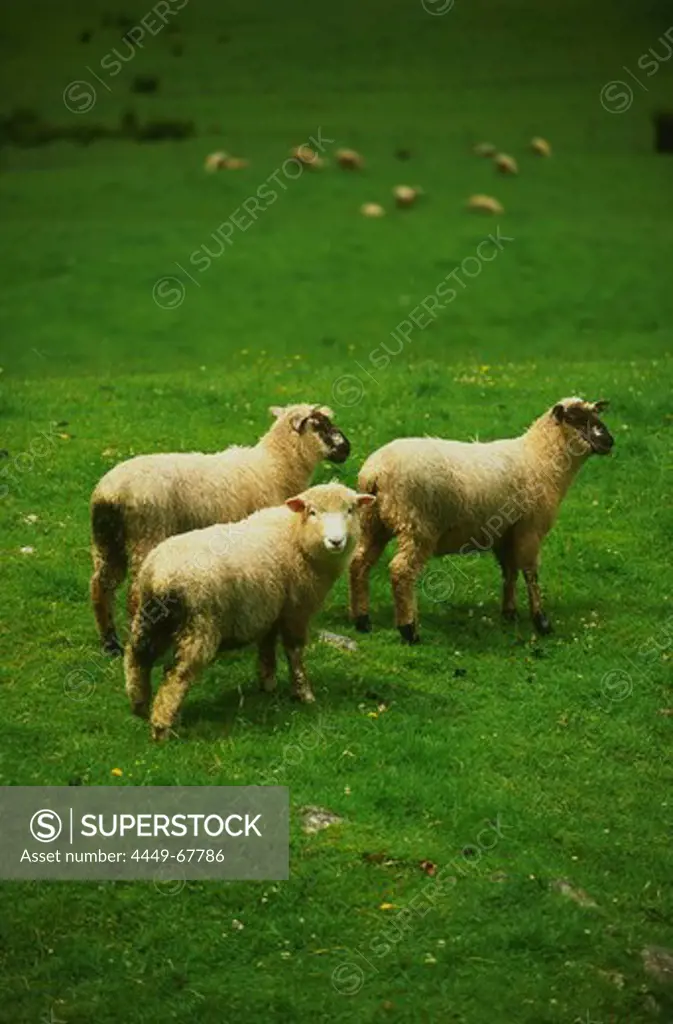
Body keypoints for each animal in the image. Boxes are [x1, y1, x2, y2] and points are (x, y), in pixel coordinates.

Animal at [89, 401, 348, 655]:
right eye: (320, 425)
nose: (347, 448)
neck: (276, 466)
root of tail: (110, 493)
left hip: (107, 541)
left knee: (101, 585)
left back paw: (110, 644)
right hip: (145, 536)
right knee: (133, 594)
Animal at [119, 483, 372, 741]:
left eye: (350, 510)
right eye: (312, 512)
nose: (336, 541)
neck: (295, 535)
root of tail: (160, 575)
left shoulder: (269, 610)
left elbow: (267, 648)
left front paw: (268, 684)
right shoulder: (295, 609)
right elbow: (294, 652)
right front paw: (304, 694)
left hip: (152, 618)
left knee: (136, 656)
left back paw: (140, 705)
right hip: (198, 625)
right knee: (176, 674)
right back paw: (161, 727)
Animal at [348, 397, 610, 643]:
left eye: (595, 415)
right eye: (576, 419)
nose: (610, 441)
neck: (541, 459)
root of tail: (375, 472)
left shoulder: (506, 534)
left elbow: (510, 572)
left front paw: (510, 613)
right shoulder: (530, 529)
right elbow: (530, 573)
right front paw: (542, 621)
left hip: (373, 523)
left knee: (359, 563)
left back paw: (362, 620)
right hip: (417, 526)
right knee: (401, 571)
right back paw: (409, 630)